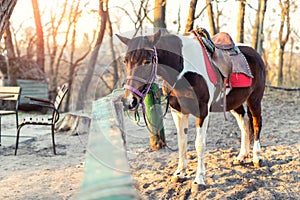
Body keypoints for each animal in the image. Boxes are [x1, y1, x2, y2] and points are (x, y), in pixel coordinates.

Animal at [116, 30, 266, 191]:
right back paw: (242, 156)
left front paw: (199, 179)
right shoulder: (178, 112)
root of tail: (254, 52)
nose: (129, 101)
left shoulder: (202, 111)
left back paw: (257, 158)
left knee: (256, 123)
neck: (182, 71)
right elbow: (182, 141)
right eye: (125, 61)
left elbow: (199, 144)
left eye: (148, 60)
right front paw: (180, 173)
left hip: (254, 99)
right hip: (233, 102)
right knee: (244, 123)